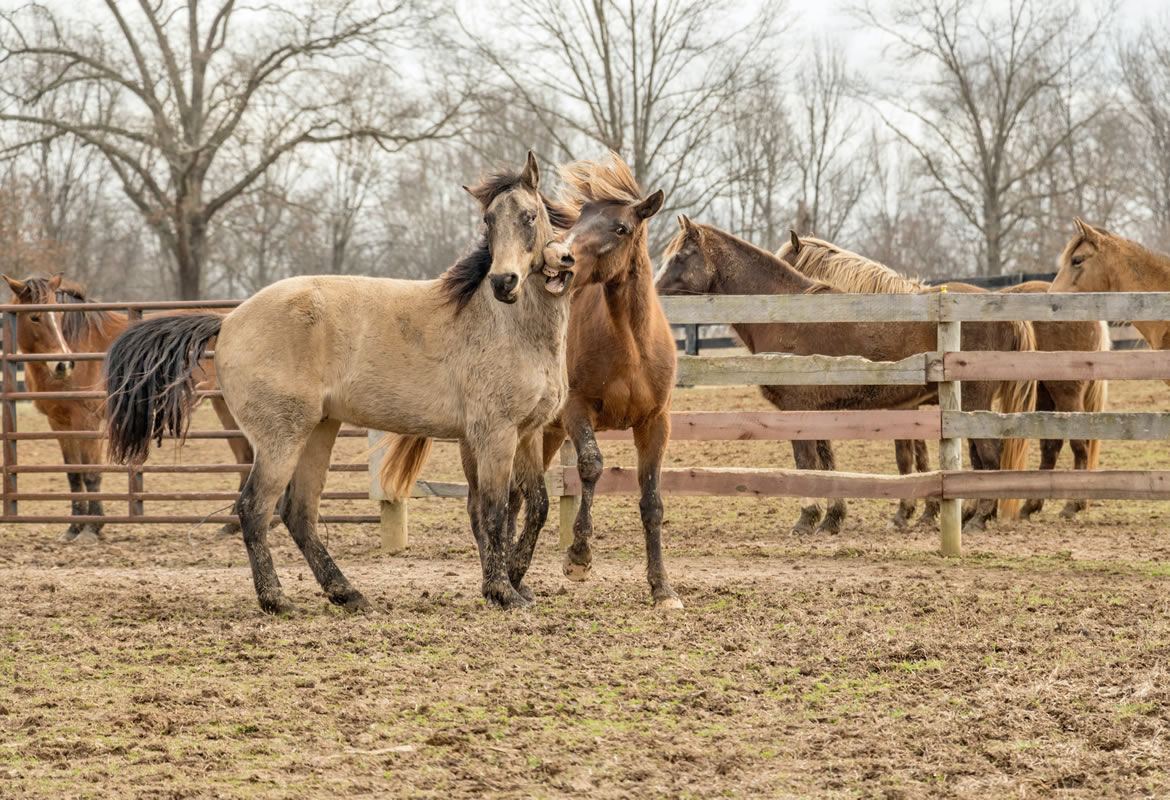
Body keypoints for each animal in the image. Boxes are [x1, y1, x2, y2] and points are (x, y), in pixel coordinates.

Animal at [104, 152, 575, 612]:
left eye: (530, 216)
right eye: (488, 221)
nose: (503, 282)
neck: (508, 326)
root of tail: (230, 319)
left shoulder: (526, 434)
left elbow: (535, 506)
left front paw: (514, 584)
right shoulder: (493, 434)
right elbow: (494, 512)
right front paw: (503, 592)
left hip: (318, 431)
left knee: (298, 513)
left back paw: (347, 593)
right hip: (281, 439)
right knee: (255, 508)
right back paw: (277, 599)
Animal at [664, 217, 1038, 538]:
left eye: (681, 256)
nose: (654, 294)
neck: (787, 316)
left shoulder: (798, 411)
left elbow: (807, 463)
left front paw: (807, 519)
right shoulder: (820, 413)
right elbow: (828, 464)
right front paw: (832, 519)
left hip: (973, 404)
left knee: (989, 457)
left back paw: (978, 518)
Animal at [776, 236, 1104, 523]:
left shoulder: (903, 407)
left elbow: (906, 458)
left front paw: (907, 513)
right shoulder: (912, 407)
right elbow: (921, 458)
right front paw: (925, 512)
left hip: (1060, 392)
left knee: (1077, 445)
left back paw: (1067, 506)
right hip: (1042, 396)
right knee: (1049, 444)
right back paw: (1024, 506)